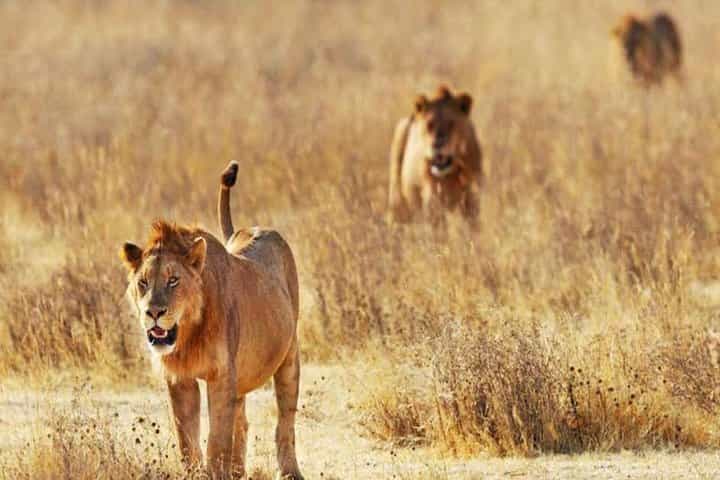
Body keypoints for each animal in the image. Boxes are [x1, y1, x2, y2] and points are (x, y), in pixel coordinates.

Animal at [120, 161, 303, 480]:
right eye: (143, 282)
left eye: (173, 280)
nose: (153, 312)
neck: (189, 334)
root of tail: (251, 228)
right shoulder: (179, 379)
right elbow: (187, 441)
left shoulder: (221, 376)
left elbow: (217, 441)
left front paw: (216, 471)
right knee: (242, 420)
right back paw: (238, 471)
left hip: (289, 357)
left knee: (285, 421)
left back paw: (290, 471)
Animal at [388, 85, 483, 225]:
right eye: (429, 125)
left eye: (451, 124)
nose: (437, 144)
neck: (451, 172)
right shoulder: (434, 201)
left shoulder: (472, 198)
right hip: (398, 201)